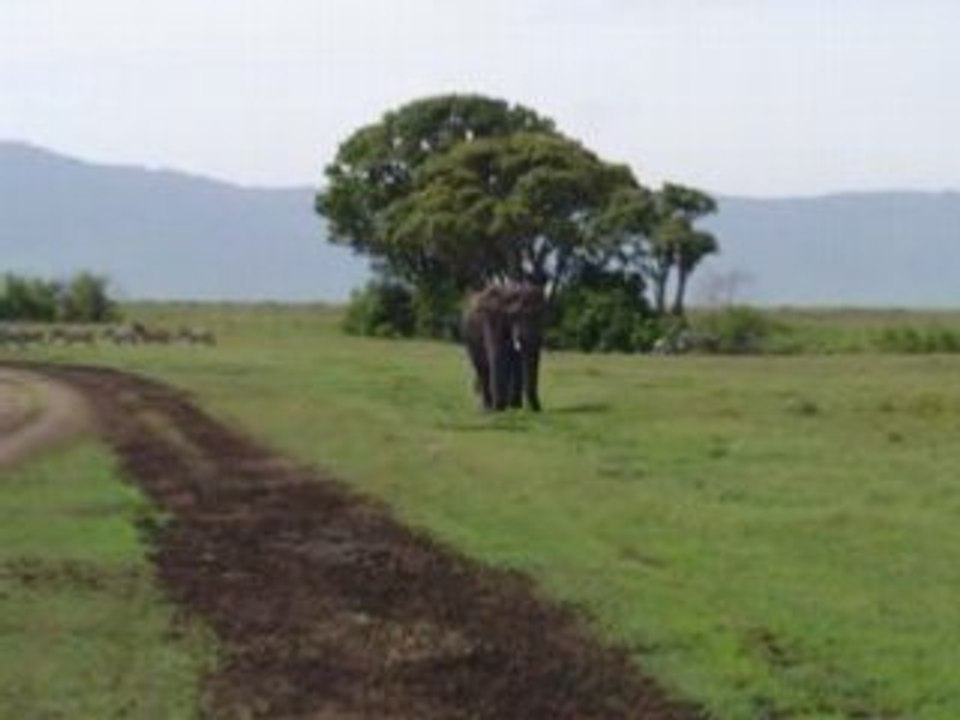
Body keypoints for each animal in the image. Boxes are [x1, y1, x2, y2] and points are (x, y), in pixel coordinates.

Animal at [462, 283, 546, 412]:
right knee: (482, 369)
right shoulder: (492, 319)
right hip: (470, 340)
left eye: (540, 315)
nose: (538, 409)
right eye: (514, 315)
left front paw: (515, 407)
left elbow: (517, 361)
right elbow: (499, 356)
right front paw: (499, 409)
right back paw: (488, 408)